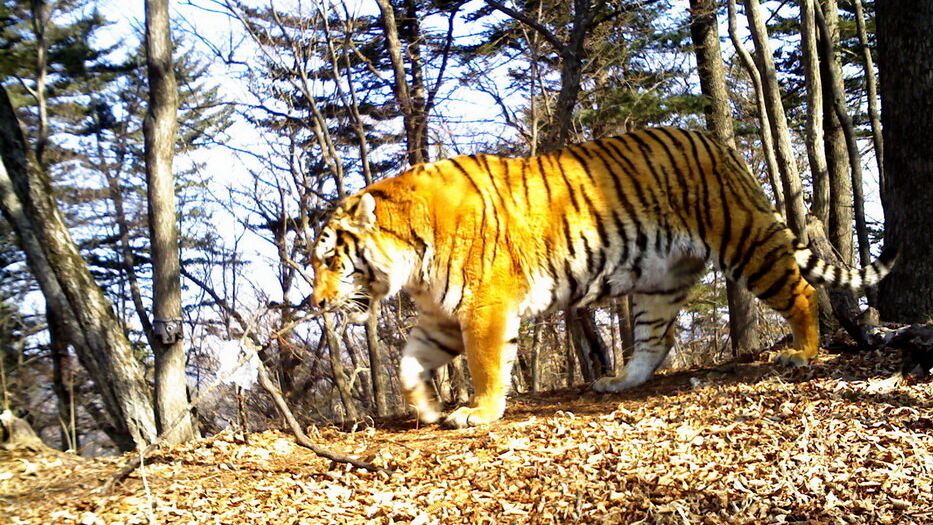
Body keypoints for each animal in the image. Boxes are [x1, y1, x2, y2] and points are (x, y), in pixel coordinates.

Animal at [308, 129, 896, 428]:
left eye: (330, 260)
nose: (314, 303)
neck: (412, 261)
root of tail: (719, 144)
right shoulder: (442, 316)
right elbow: (409, 363)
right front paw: (428, 407)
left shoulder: (484, 307)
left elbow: (485, 364)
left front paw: (478, 412)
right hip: (657, 285)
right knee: (657, 342)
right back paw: (619, 381)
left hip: (746, 243)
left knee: (803, 291)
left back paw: (803, 352)